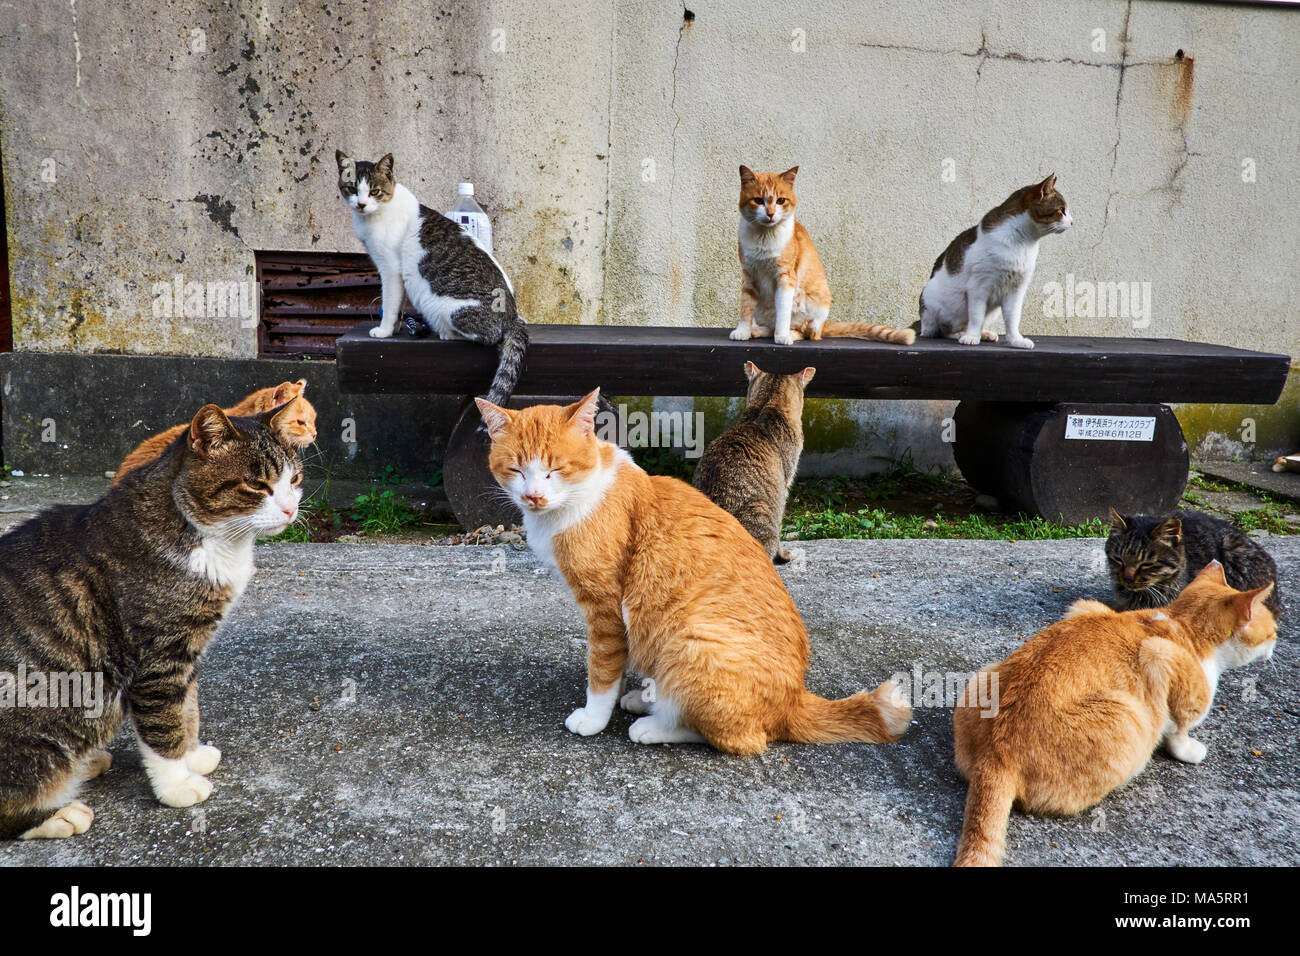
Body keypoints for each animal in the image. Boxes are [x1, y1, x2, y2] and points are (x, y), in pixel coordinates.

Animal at [0, 408, 301, 842]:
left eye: (294, 479)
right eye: (256, 483)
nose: (291, 509)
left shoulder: (188, 650)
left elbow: (188, 709)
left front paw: (192, 755)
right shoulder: (158, 657)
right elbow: (164, 722)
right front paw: (177, 784)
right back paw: (59, 813)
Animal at [473, 390, 909, 754]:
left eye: (555, 470)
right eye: (517, 470)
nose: (533, 496)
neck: (580, 496)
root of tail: (795, 699)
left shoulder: (606, 608)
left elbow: (602, 668)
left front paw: (594, 717)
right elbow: (619, 663)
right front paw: (620, 695)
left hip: (693, 637)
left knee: (740, 738)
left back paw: (655, 725)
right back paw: (647, 698)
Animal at [733, 166, 915, 348]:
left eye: (780, 201)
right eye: (758, 200)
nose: (770, 214)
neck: (764, 237)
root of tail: (823, 324)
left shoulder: (785, 277)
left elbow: (783, 311)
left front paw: (782, 335)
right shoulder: (748, 275)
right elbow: (746, 307)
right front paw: (743, 331)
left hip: (815, 307)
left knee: (807, 333)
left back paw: (789, 334)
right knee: (771, 327)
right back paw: (757, 330)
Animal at [951, 561, 1274, 868]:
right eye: (1273, 630)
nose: (1275, 643)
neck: (1181, 622)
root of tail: (996, 753)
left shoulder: (1087, 608)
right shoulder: (1161, 656)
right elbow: (1180, 727)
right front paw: (1188, 748)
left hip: (982, 677)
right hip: (1129, 717)